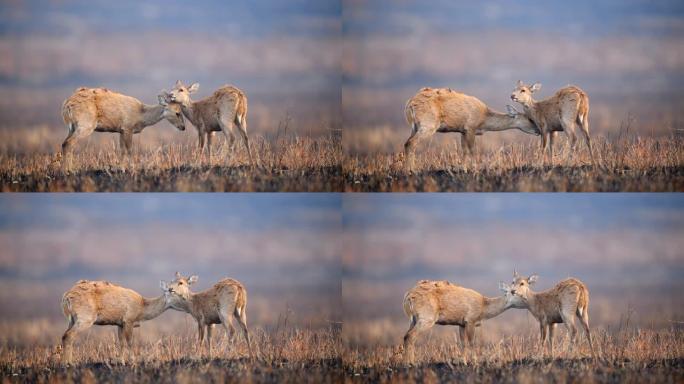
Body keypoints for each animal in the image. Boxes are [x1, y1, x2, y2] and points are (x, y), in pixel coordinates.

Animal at [400, 87, 540, 168]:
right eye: (529, 118)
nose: (538, 130)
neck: (484, 119)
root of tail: (409, 104)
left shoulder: (462, 131)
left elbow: (464, 151)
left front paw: (464, 169)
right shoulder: (470, 128)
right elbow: (473, 150)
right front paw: (475, 169)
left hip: (414, 127)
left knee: (408, 143)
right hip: (428, 125)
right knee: (411, 143)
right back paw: (410, 171)